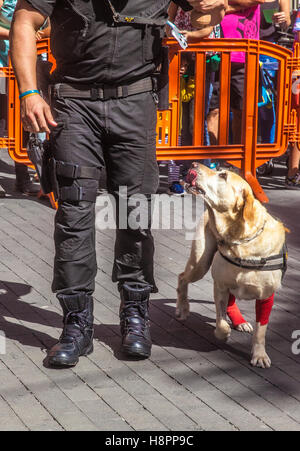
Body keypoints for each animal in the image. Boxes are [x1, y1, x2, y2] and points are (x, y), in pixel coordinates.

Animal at [177, 164, 288, 370]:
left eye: (223, 175)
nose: (194, 165)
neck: (241, 240)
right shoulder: (220, 285)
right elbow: (221, 322)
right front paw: (223, 333)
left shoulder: (266, 296)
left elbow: (261, 330)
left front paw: (259, 355)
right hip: (200, 264)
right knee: (182, 278)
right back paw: (183, 308)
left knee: (231, 300)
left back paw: (239, 321)